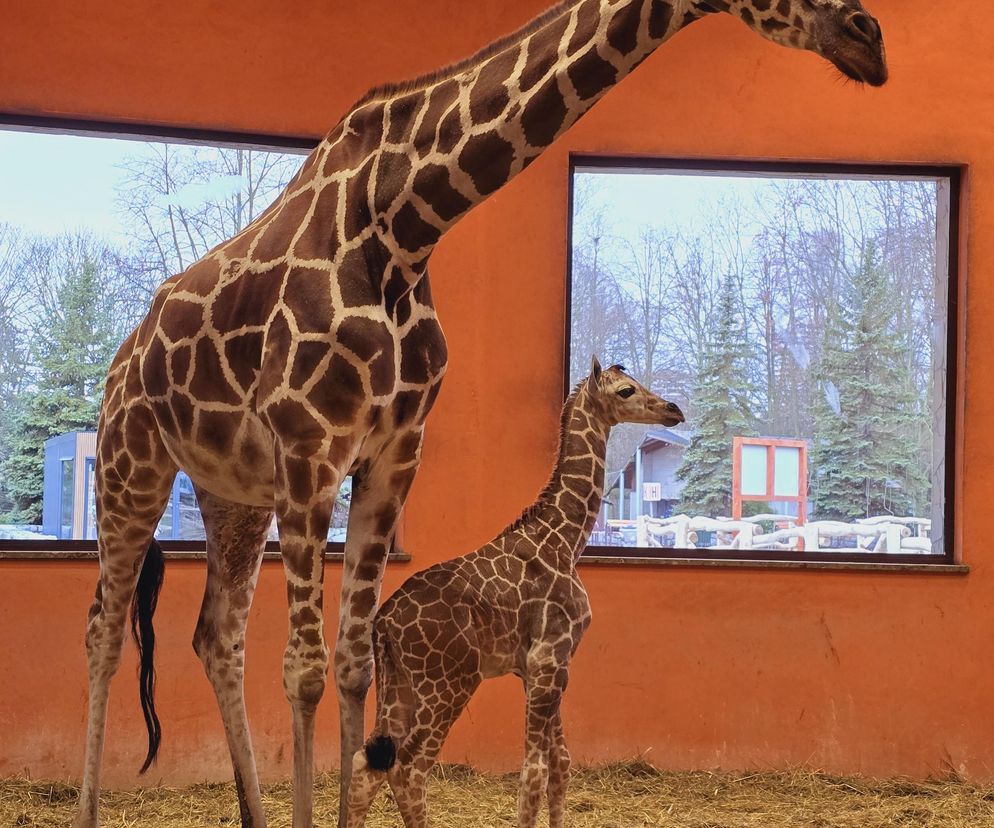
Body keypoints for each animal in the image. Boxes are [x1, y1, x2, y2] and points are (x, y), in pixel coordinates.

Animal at [348, 358, 680, 828]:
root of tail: (384, 623)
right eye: (626, 390)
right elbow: (534, 771)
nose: (673, 410)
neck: (565, 540)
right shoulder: (550, 659)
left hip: (400, 686)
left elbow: (561, 763)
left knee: (367, 763)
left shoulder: (540, 668)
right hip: (449, 684)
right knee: (409, 768)